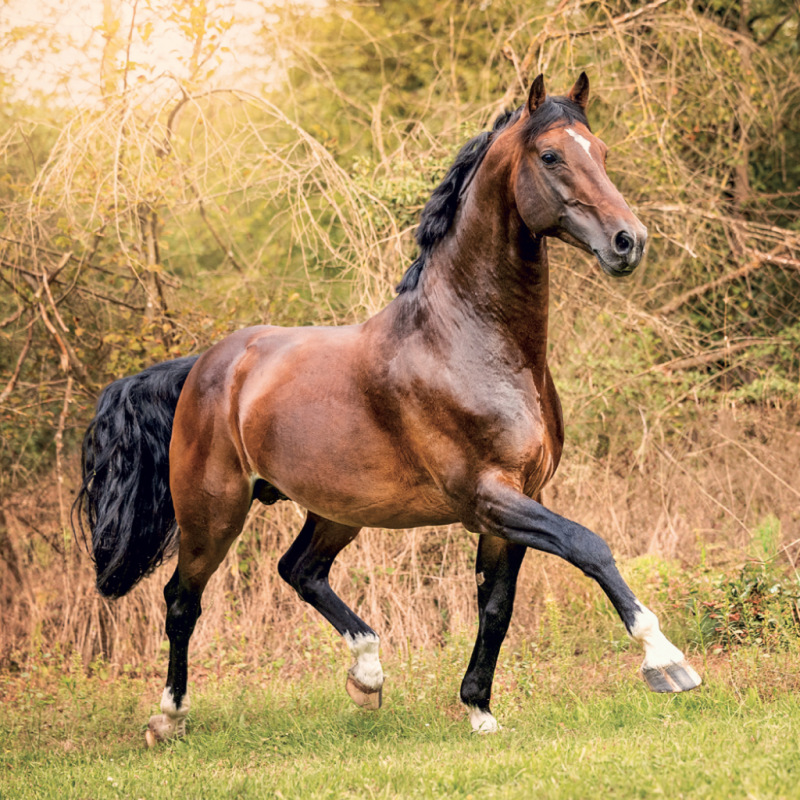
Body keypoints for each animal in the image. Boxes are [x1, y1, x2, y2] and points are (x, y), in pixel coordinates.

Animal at [73, 74, 701, 745]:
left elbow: (496, 607)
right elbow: (589, 546)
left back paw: (368, 674)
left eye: (601, 151)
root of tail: (205, 367)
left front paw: (479, 710)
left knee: (300, 571)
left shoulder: (514, 502)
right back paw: (168, 718)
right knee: (181, 600)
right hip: (212, 512)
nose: (628, 242)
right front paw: (666, 661)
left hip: (337, 508)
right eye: (552, 155)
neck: (469, 343)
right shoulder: (488, 497)